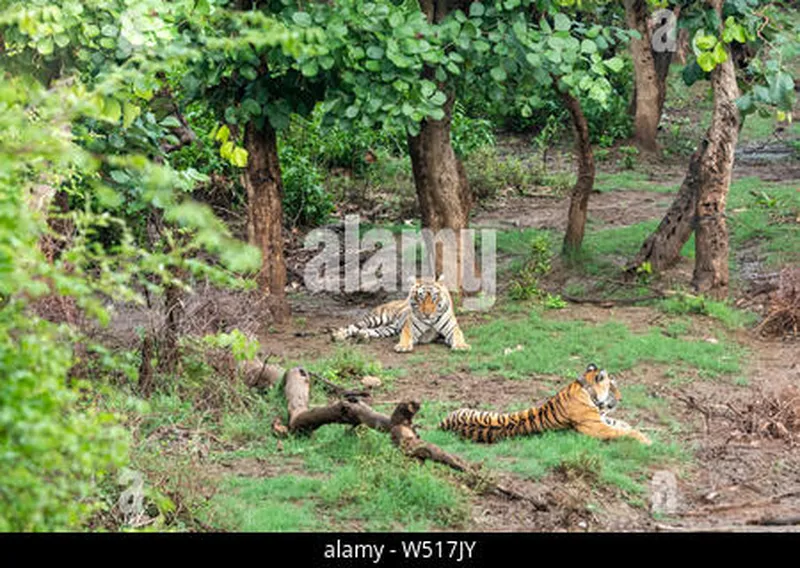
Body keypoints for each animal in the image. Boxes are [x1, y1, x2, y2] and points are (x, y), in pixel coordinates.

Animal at [330, 276, 468, 352]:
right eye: (420, 298)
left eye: (434, 298)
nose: (427, 314)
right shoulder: (409, 328)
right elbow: (405, 336)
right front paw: (403, 346)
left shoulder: (452, 328)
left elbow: (458, 335)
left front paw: (461, 346)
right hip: (376, 318)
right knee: (353, 326)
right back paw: (338, 335)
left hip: (388, 329)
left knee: (368, 330)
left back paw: (363, 335)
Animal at [440, 364, 652, 448]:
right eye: (612, 386)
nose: (621, 398)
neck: (585, 389)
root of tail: (442, 424)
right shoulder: (597, 428)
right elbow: (624, 432)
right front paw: (647, 440)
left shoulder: (602, 418)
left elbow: (624, 424)